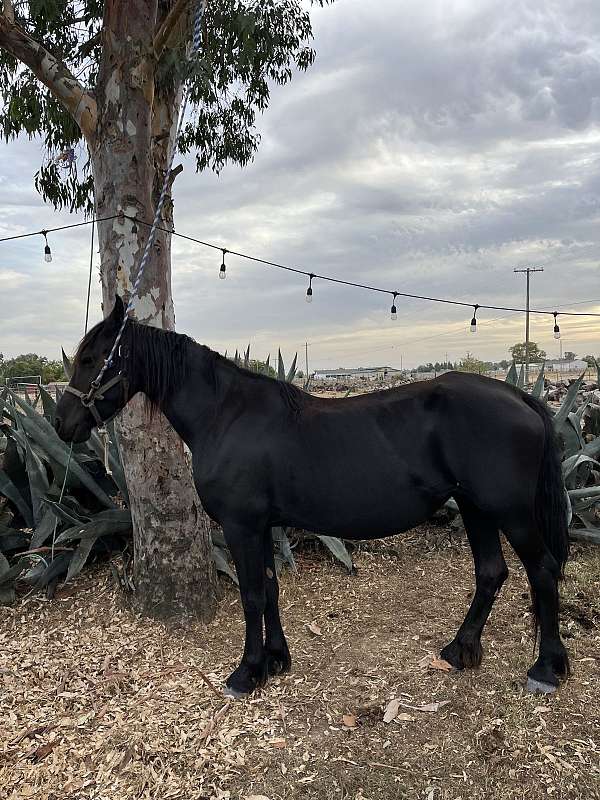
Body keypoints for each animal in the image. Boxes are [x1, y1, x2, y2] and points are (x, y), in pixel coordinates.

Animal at [55, 296, 568, 696]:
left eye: (90, 359)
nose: (62, 424)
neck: (226, 415)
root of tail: (519, 396)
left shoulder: (240, 526)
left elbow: (251, 594)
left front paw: (247, 673)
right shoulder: (261, 526)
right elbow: (270, 587)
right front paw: (276, 660)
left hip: (509, 512)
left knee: (542, 569)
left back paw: (546, 668)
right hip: (476, 508)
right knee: (491, 572)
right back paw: (460, 650)